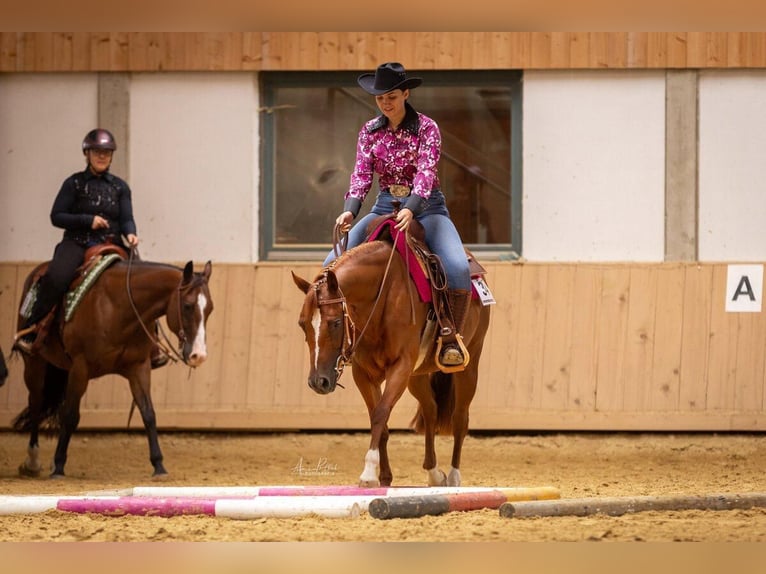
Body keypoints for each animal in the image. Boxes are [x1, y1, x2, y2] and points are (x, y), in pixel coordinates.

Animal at [12, 258, 214, 480]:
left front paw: (159, 465)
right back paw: (32, 461)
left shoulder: (139, 368)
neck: (117, 307)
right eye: (187, 306)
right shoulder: (80, 367)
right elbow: (70, 416)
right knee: (36, 403)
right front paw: (58, 466)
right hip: (35, 363)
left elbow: (148, 413)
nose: (198, 355)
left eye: (210, 309)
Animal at [294, 223, 492, 488]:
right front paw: (385, 477)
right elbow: (380, 419)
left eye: (335, 322)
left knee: (460, 417)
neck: (381, 295)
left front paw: (368, 473)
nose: (318, 382)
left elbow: (380, 414)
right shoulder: (365, 374)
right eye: (302, 324)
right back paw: (434, 473)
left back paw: (453, 476)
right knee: (430, 410)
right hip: (417, 376)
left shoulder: (400, 366)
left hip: (469, 366)